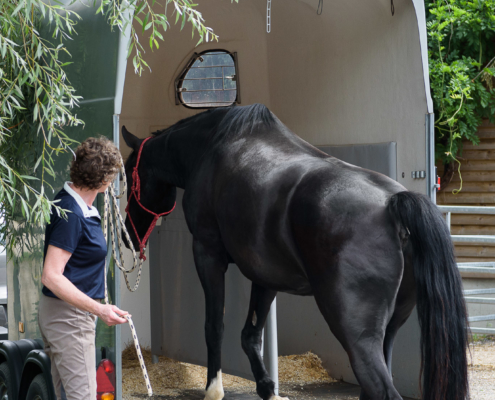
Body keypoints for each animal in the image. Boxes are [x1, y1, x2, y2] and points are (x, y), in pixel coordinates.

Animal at [122, 104, 470, 400]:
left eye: (127, 177)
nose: (128, 236)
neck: (210, 149)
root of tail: (391, 205)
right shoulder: (264, 275)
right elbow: (251, 334)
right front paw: (267, 389)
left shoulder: (208, 254)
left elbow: (214, 325)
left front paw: (213, 389)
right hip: (391, 328)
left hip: (356, 332)